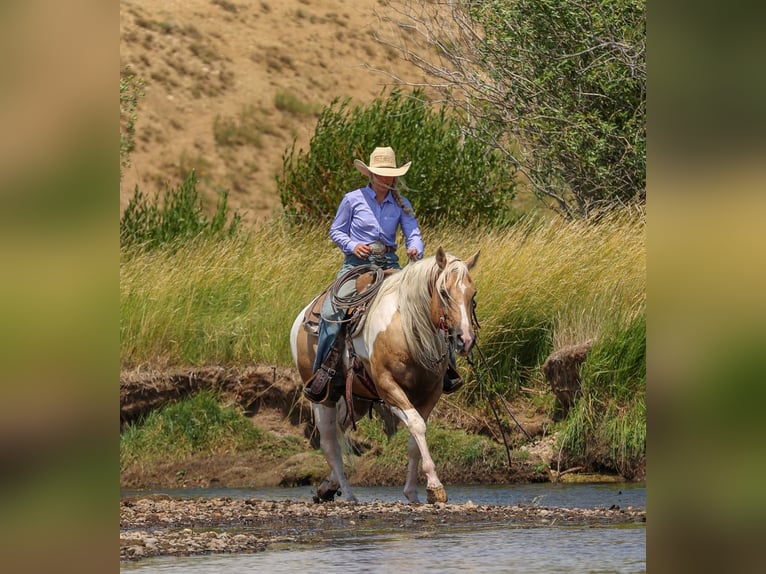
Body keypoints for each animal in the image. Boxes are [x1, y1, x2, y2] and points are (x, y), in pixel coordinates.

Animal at [290, 246, 480, 504]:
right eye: (443, 292)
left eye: (472, 293)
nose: (465, 339)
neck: (406, 329)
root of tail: (301, 317)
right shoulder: (388, 386)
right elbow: (417, 426)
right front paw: (435, 486)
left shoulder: (430, 392)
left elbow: (415, 436)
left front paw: (414, 493)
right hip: (323, 397)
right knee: (330, 443)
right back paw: (348, 494)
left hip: (357, 399)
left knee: (341, 429)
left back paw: (329, 485)